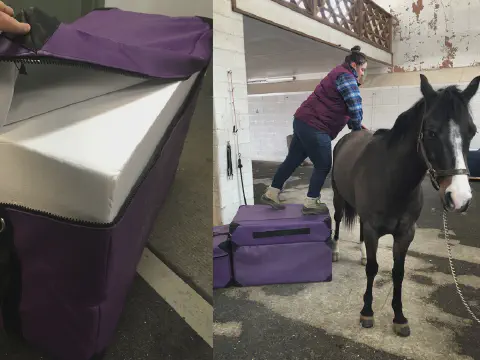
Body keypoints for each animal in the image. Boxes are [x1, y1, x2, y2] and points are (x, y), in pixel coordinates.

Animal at [332, 74, 478, 338]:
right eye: (431, 132)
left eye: (472, 131)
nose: (459, 197)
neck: (392, 180)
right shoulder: (373, 230)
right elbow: (373, 268)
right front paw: (367, 312)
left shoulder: (405, 233)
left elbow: (397, 273)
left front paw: (399, 317)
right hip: (339, 199)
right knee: (337, 221)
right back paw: (336, 251)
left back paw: (360, 253)